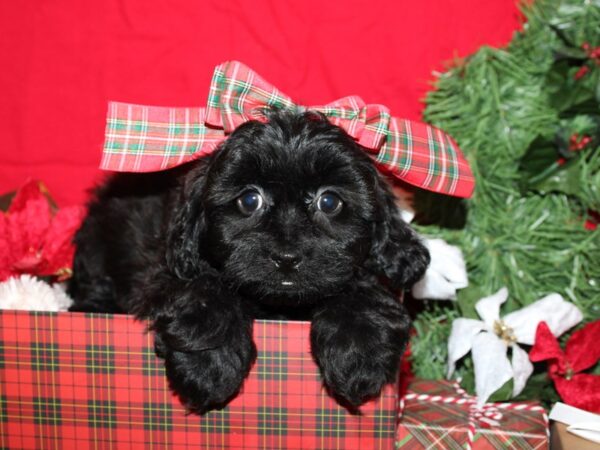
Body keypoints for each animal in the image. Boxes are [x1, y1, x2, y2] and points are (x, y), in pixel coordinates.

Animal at [68, 109, 428, 414]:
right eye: (249, 200)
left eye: (329, 202)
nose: (286, 258)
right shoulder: (164, 270)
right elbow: (202, 289)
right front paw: (208, 365)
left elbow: (362, 288)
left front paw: (358, 353)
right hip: (96, 245)